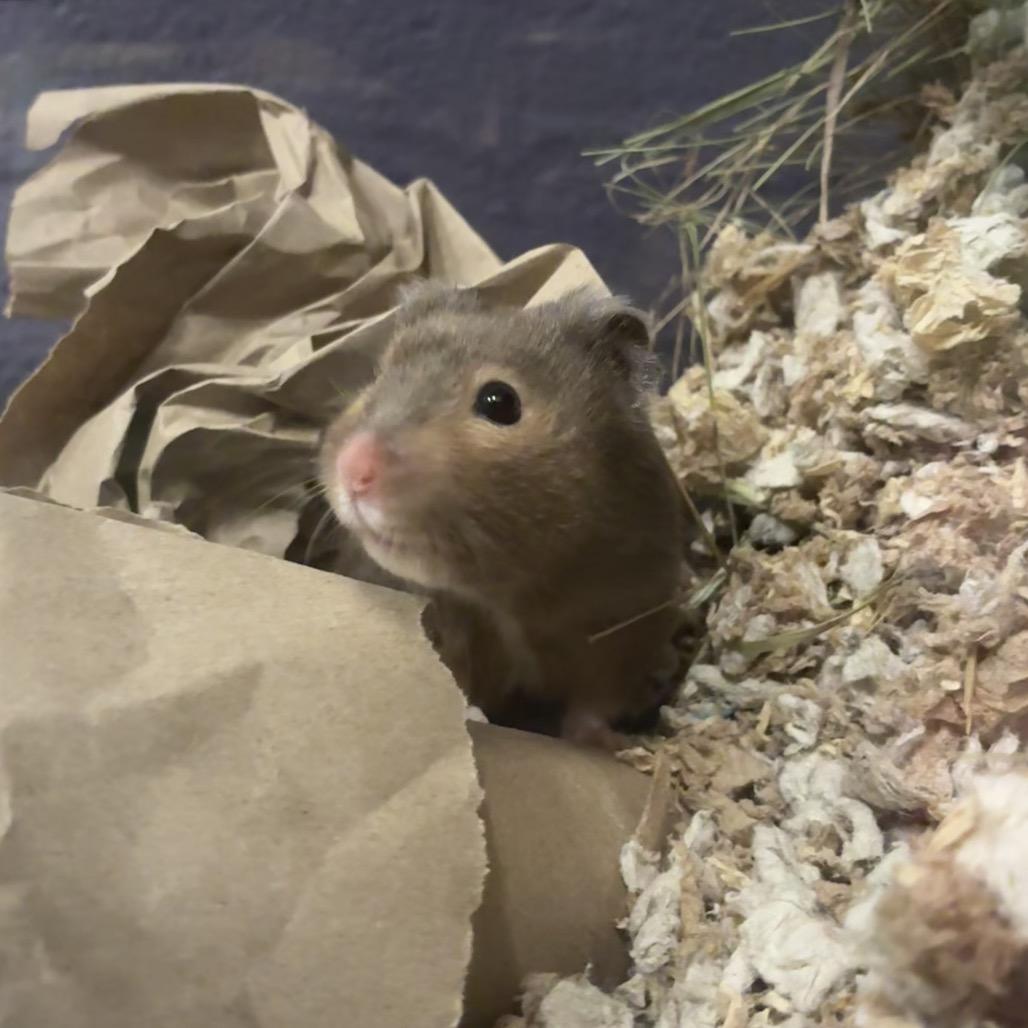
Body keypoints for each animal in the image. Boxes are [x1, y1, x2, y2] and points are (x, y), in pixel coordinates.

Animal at [319, 282, 685, 749]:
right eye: (378, 376)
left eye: (500, 402)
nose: (353, 469)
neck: (505, 593)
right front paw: (474, 717)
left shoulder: (628, 619)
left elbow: (595, 701)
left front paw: (610, 745)